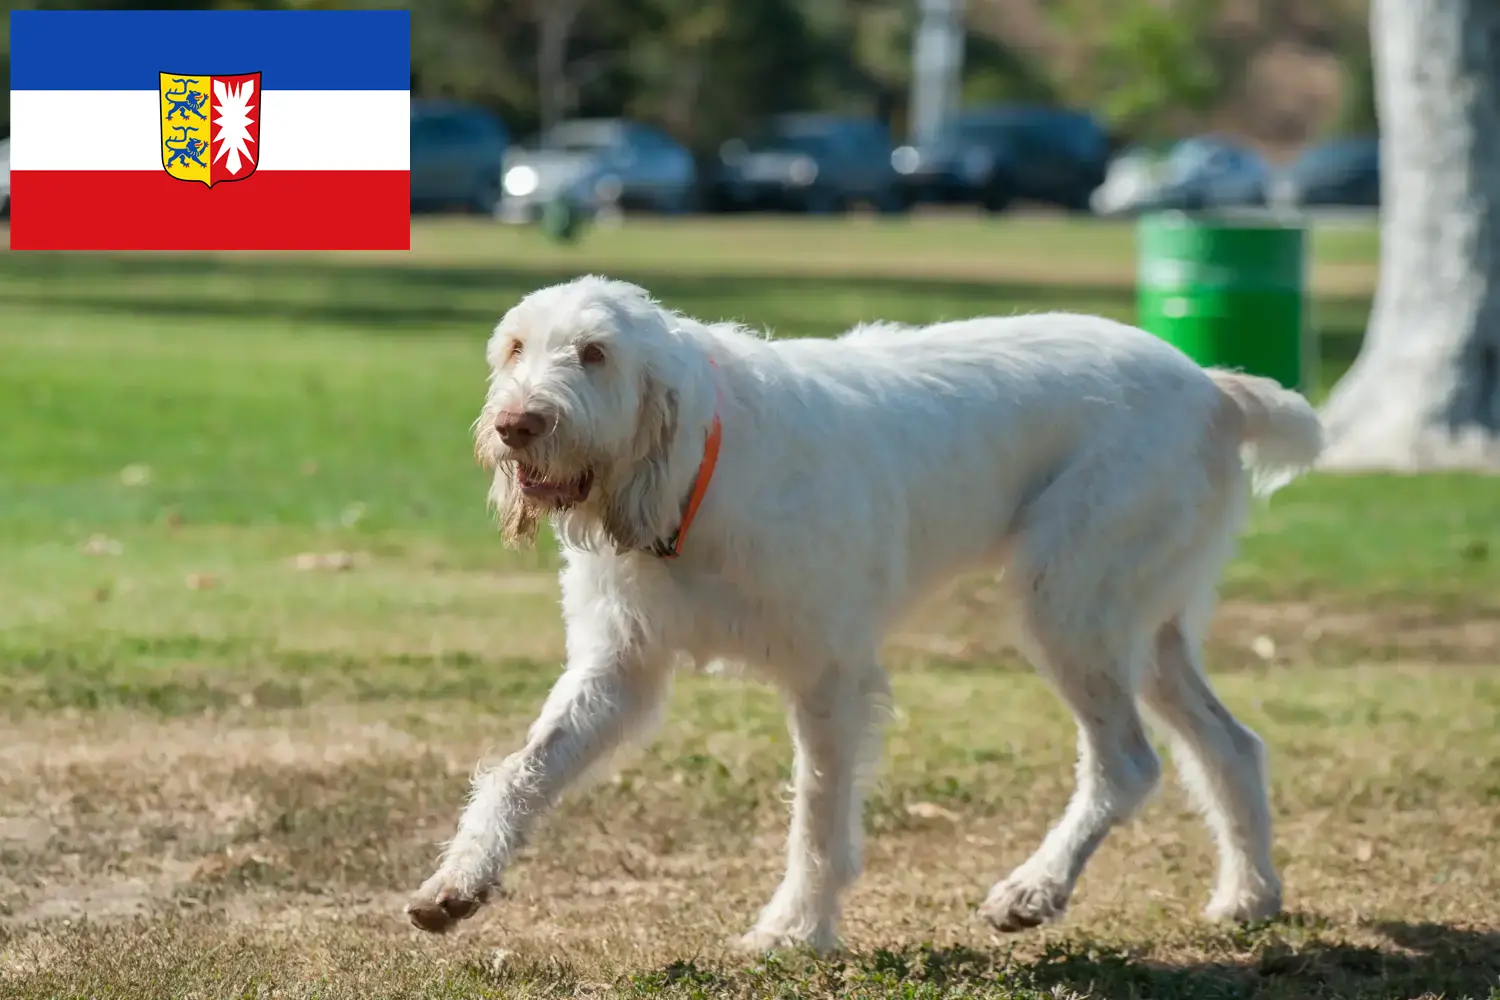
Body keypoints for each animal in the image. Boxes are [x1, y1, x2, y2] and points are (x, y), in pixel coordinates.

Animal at [402, 275, 1326, 953]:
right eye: (515, 348)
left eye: (594, 354)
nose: (516, 425)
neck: (696, 473)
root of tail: (1210, 387)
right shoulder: (616, 672)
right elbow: (524, 769)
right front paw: (459, 885)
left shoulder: (830, 678)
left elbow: (817, 812)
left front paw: (795, 930)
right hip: (1145, 631)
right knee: (1230, 745)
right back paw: (1250, 894)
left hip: (1069, 608)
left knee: (1127, 763)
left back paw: (1034, 889)